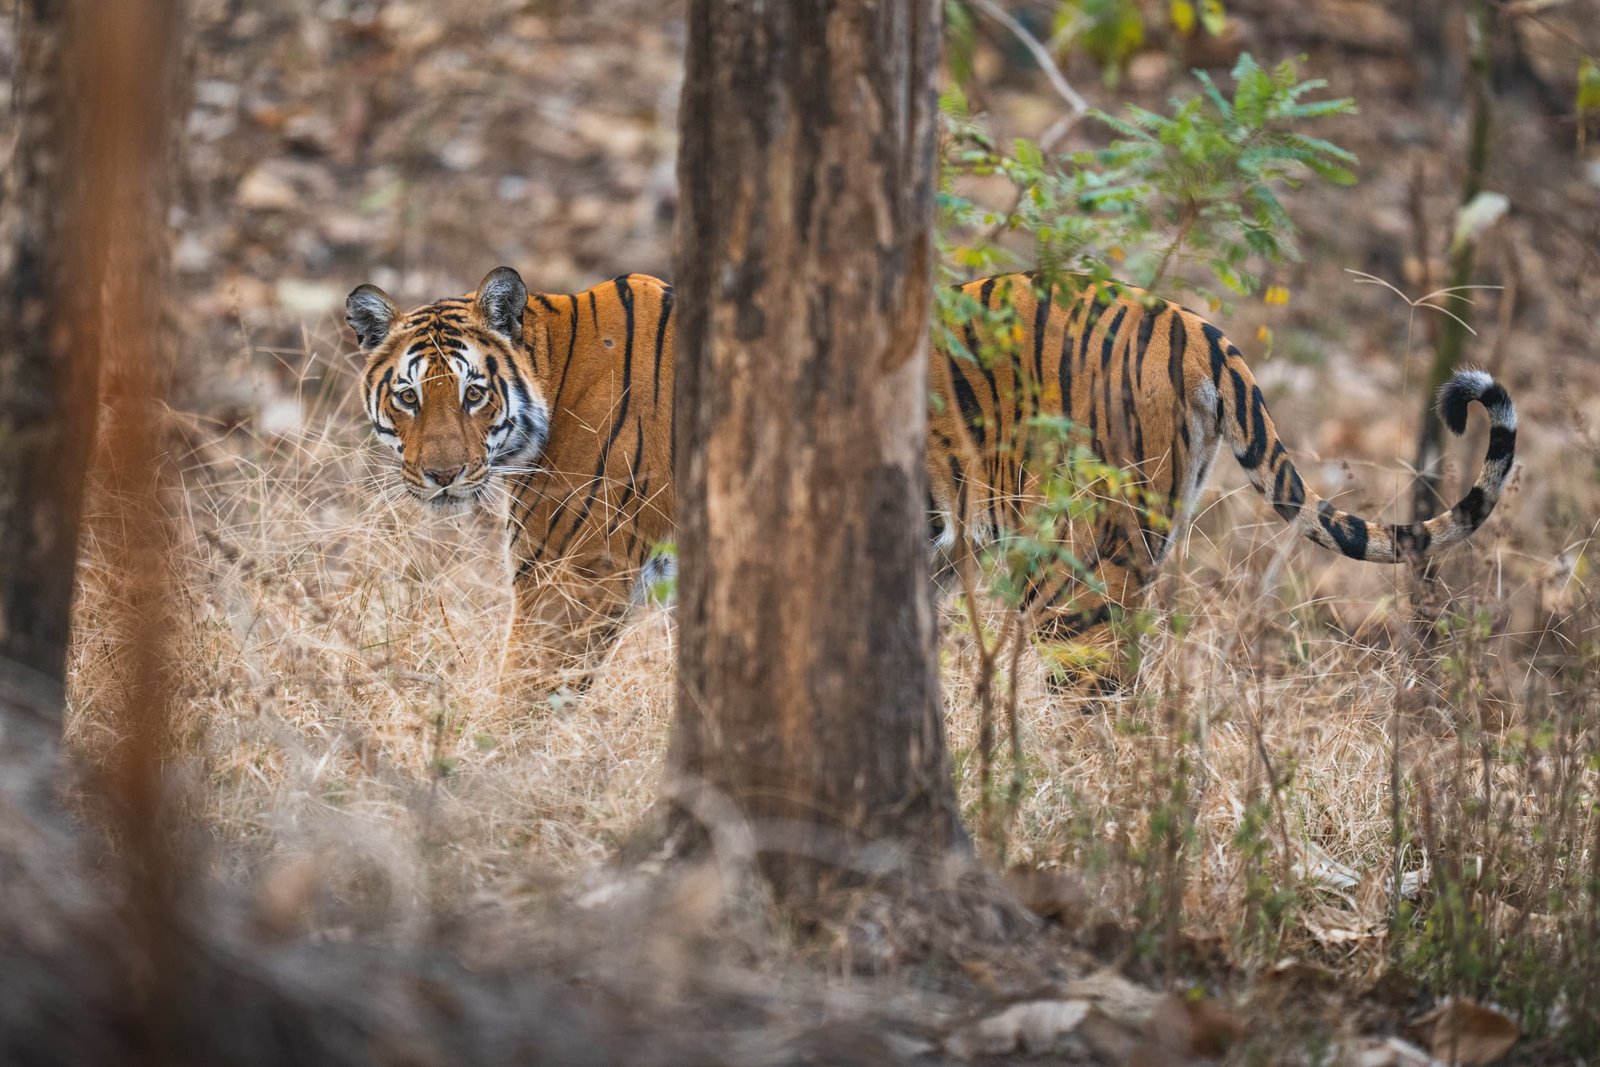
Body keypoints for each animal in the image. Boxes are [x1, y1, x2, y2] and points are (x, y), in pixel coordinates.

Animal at [347, 266, 1517, 698]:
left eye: (471, 395)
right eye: (409, 397)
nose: (440, 477)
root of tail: (1181, 317)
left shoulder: (571, 582)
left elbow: (519, 695)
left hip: (1080, 577)